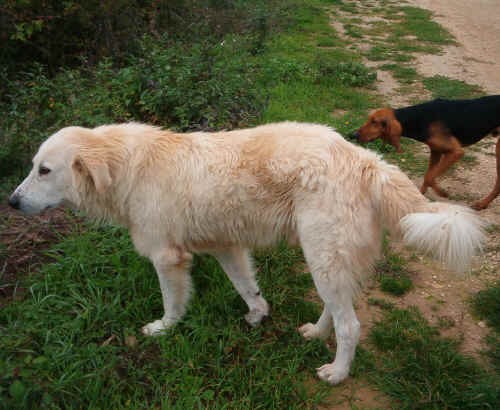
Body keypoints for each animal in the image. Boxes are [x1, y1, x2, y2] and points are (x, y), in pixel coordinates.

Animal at [7, 121, 484, 384]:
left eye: (44, 170)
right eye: (32, 167)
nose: (11, 202)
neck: (126, 167)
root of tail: (368, 160)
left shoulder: (168, 258)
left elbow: (173, 302)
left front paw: (163, 329)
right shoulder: (227, 246)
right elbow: (247, 287)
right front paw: (257, 315)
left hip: (324, 255)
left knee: (351, 325)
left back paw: (337, 371)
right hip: (328, 260)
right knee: (336, 310)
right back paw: (316, 333)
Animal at [356, 96, 500, 210]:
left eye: (374, 122)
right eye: (369, 119)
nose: (354, 134)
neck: (419, 118)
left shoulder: (455, 152)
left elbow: (430, 177)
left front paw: (442, 193)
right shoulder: (436, 151)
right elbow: (428, 176)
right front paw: (421, 198)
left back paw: (481, 204)